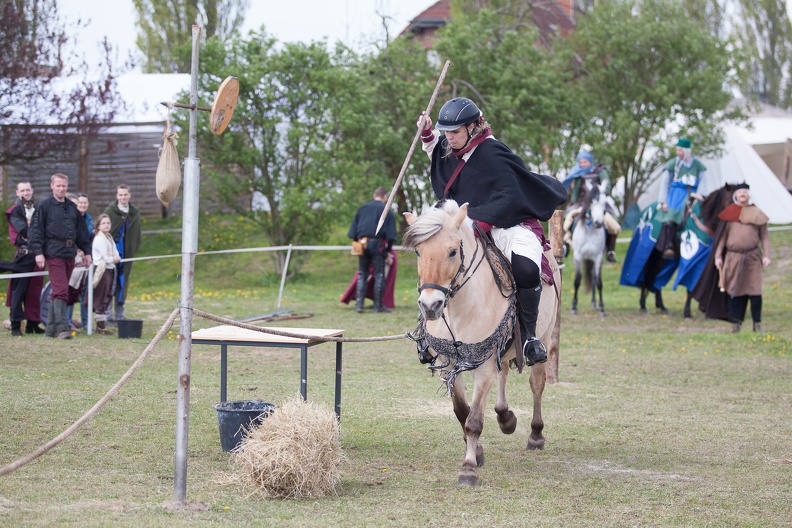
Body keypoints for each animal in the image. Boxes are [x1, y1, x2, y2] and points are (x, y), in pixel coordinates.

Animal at [402, 200, 564, 484]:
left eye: (452, 251)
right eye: (419, 253)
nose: (430, 306)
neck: (461, 309)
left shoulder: (484, 365)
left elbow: (474, 419)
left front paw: (468, 468)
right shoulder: (449, 363)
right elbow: (461, 411)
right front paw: (476, 453)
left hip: (543, 337)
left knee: (537, 384)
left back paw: (535, 434)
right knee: (505, 373)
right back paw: (505, 417)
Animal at [568, 177, 608, 318]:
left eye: (604, 202)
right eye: (591, 202)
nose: (598, 223)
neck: (590, 230)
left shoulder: (598, 258)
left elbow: (599, 282)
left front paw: (602, 308)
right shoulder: (577, 257)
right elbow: (577, 280)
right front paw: (573, 306)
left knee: (594, 279)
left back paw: (595, 304)